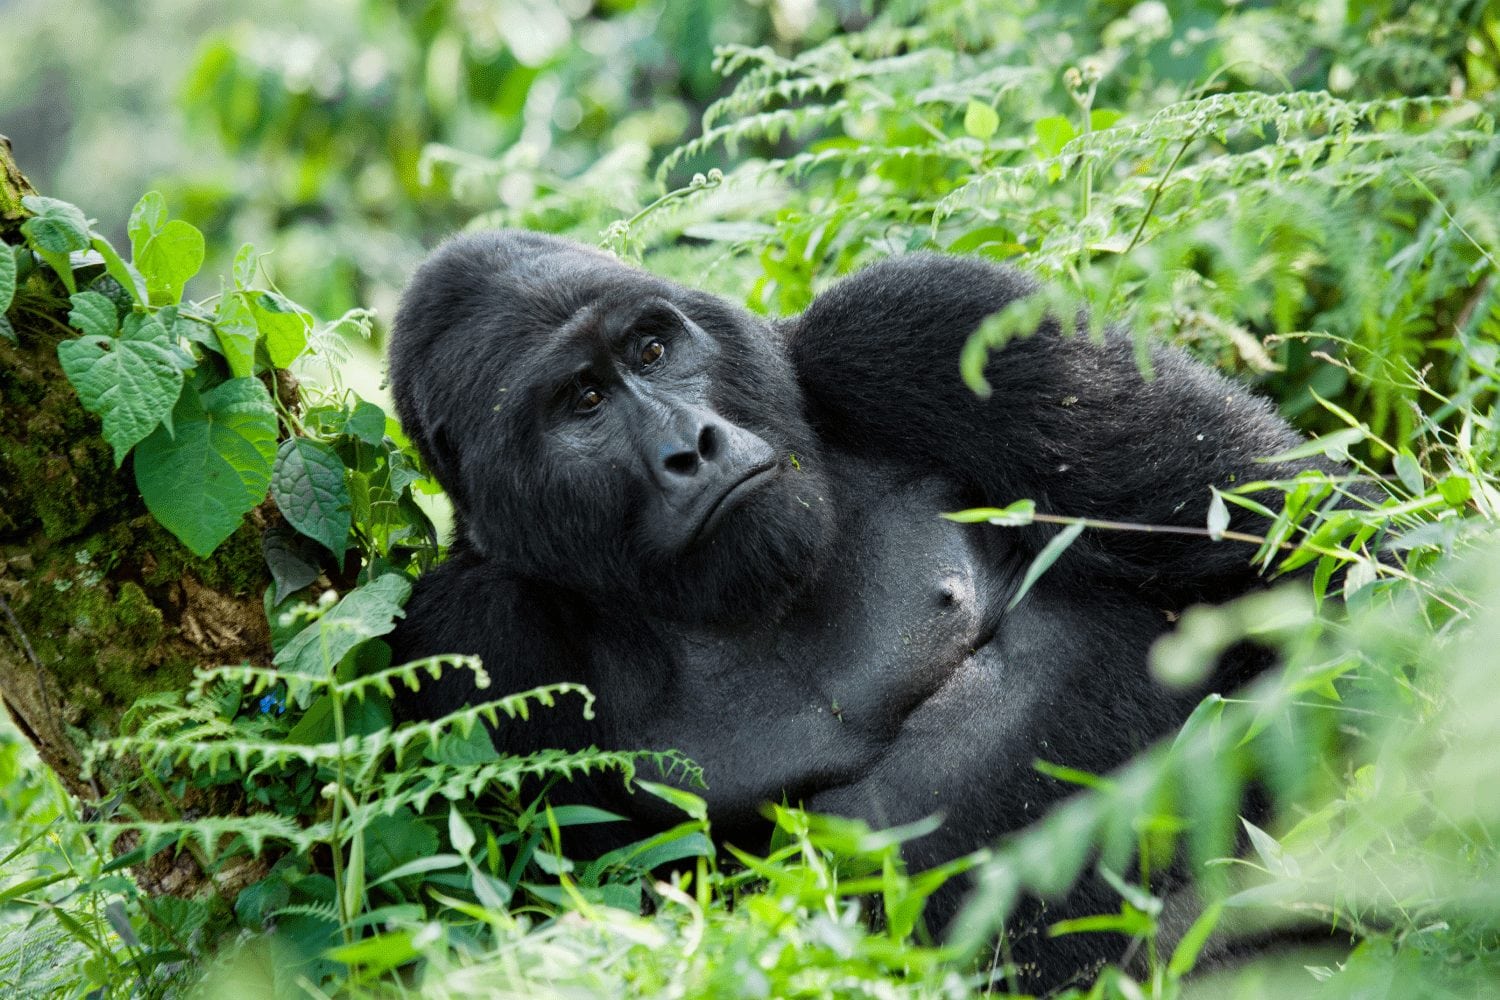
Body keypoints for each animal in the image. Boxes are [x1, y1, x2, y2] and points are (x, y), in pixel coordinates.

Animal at [387, 230, 1326, 989]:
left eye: (651, 348)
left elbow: (1291, 554)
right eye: (582, 400)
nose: (694, 446)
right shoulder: (472, 637)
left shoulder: (926, 324)